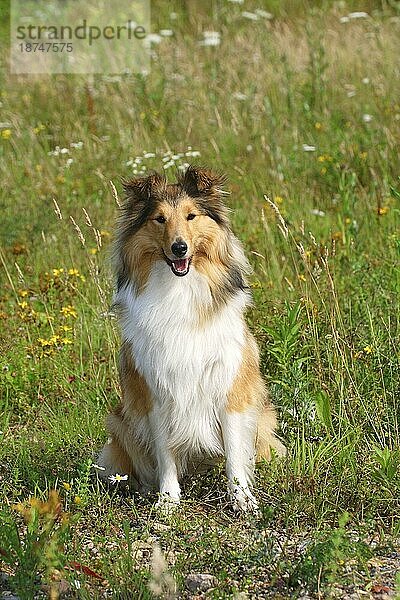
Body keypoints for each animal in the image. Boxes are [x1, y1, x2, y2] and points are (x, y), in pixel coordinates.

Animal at [97, 168, 284, 510]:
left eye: (191, 216)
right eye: (159, 219)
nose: (179, 248)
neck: (179, 289)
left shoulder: (228, 385)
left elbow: (234, 453)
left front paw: (242, 500)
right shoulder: (155, 391)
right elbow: (164, 452)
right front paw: (168, 500)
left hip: (263, 415)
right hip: (119, 421)